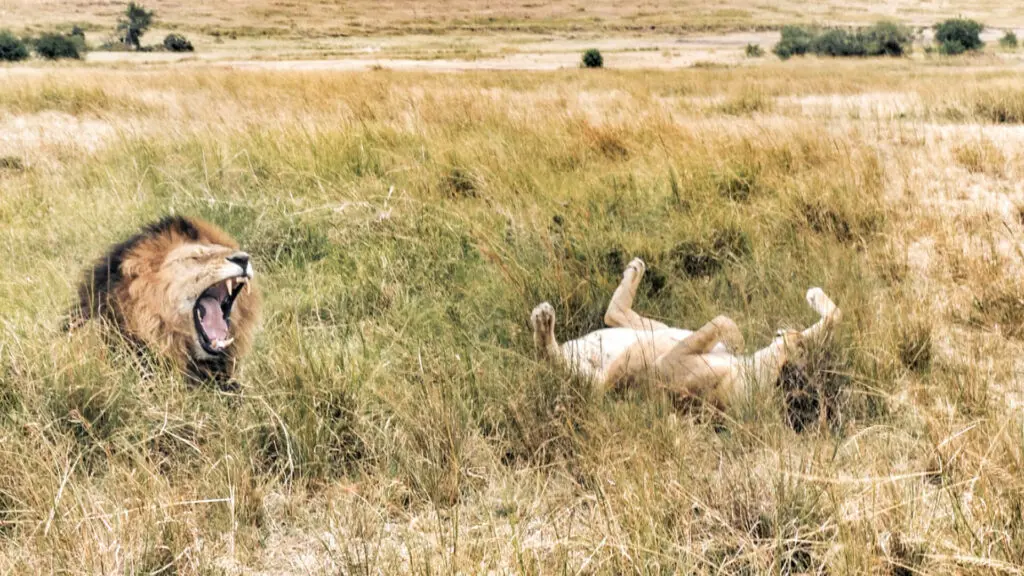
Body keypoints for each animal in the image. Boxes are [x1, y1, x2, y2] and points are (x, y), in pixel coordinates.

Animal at [530, 258, 841, 409]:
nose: (787, 335)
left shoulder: (669, 364)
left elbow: (724, 319)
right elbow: (836, 316)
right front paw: (814, 297)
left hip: (606, 375)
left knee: (554, 359)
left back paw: (543, 320)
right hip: (658, 331)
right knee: (613, 314)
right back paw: (634, 269)